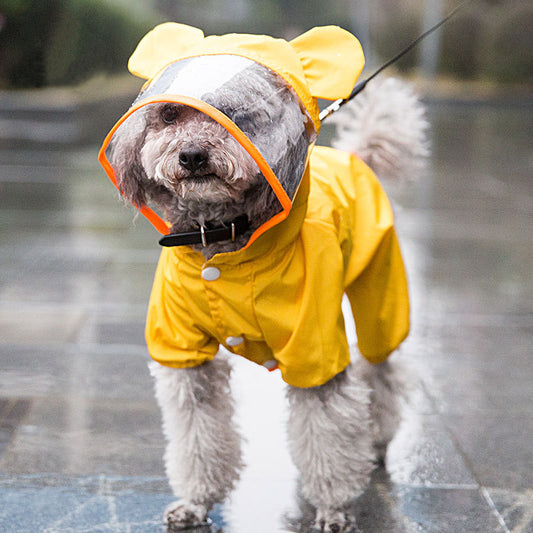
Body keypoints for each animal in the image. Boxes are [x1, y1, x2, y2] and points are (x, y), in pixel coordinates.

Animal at [101, 22, 428, 528]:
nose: (192, 155)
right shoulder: (184, 353)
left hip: (380, 288)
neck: (222, 236)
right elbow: (198, 435)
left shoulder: (315, 348)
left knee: (382, 367)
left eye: (237, 113)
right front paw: (196, 501)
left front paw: (333, 507)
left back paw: (377, 438)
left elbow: (327, 435)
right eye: (170, 114)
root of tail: (356, 155)